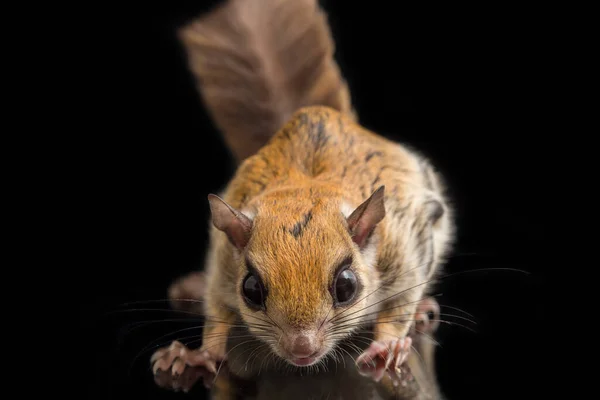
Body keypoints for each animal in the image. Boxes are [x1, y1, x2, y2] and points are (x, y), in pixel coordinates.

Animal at [150, 1, 454, 398]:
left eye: (346, 287)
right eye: (251, 290)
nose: (302, 348)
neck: (306, 192)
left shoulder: (403, 252)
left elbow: (399, 305)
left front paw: (387, 346)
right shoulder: (223, 264)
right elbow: (217, 313)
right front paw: (197, 356)